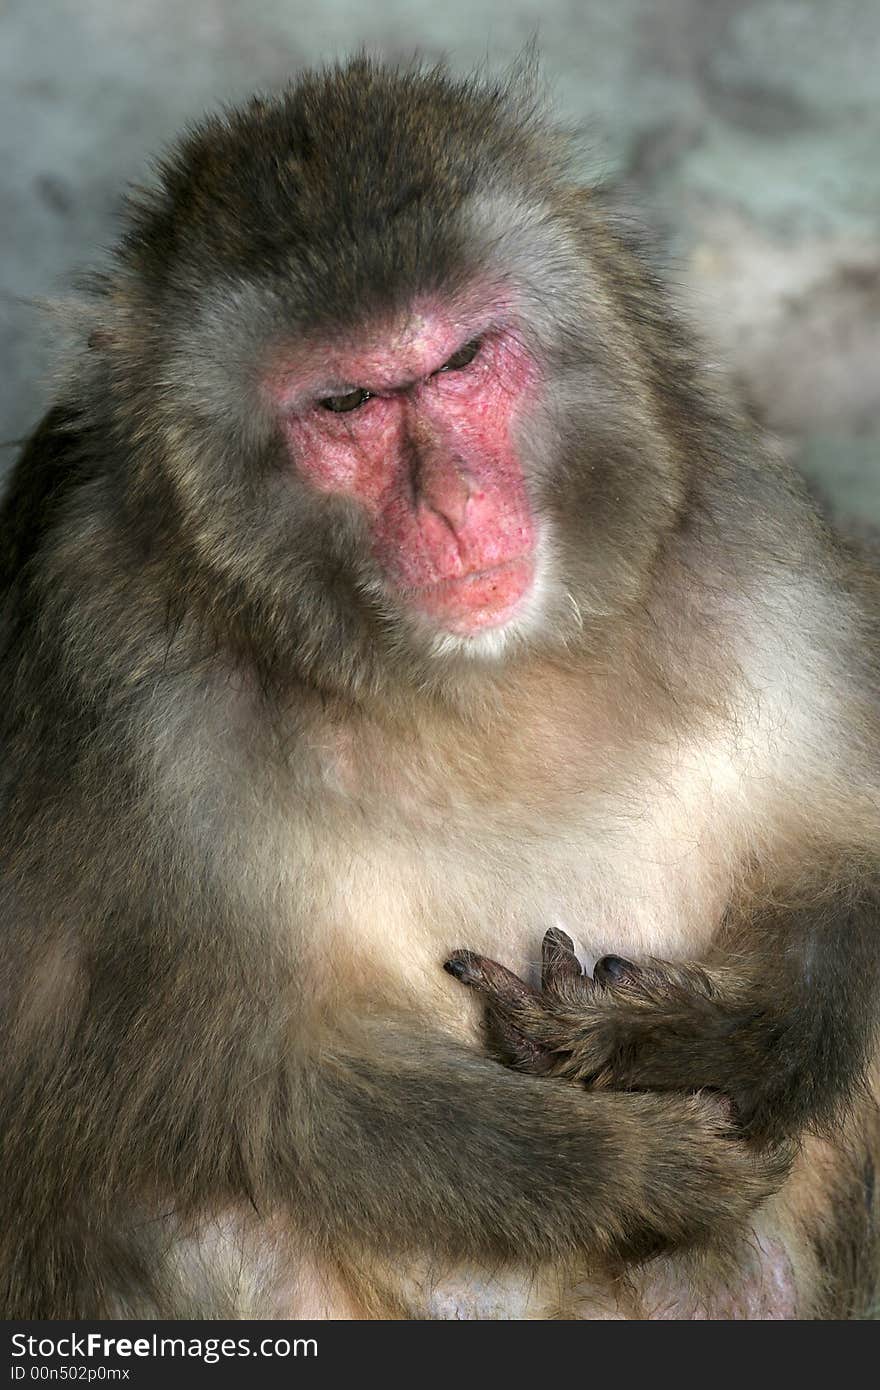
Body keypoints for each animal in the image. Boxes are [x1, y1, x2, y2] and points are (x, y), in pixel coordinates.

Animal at [1, 59, 878, 1317]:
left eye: (461, 362)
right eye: (346, 405)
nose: (458, 502)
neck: (482, 684)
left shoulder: (763, 565)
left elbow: (848, 860)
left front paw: (691, 1039)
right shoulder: (121, 708)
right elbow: (194, 1085)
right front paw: (633, 1165)